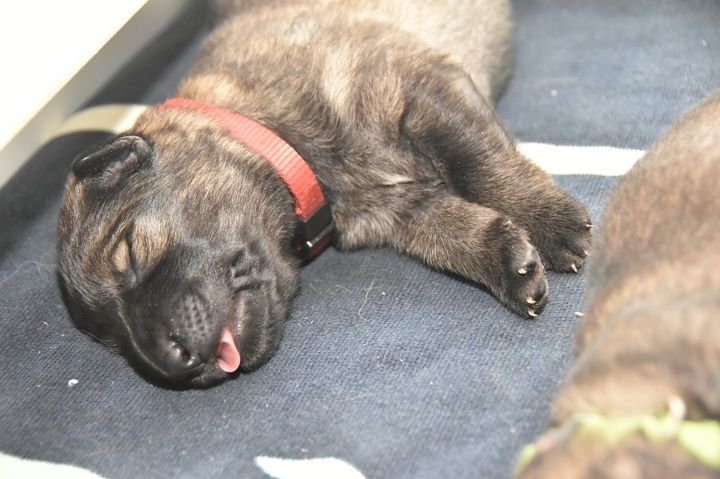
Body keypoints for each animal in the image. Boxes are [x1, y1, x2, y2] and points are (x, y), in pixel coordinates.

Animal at [56, 0, 591, 387]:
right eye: (108, 338)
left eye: (130, 252)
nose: (174, 365)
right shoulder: (404, 211)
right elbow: (452, 234)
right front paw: (507, 262)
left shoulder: (419, 85)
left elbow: (478, 164)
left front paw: (552, 223)